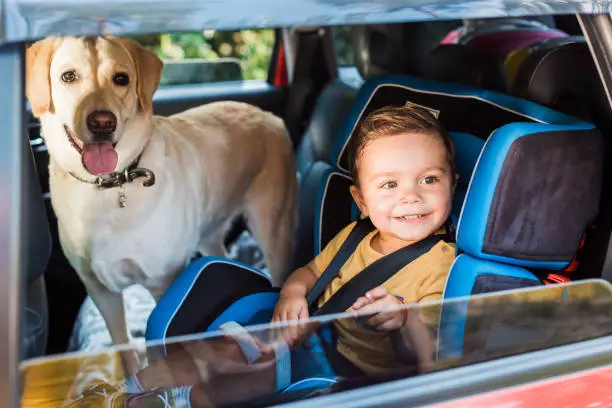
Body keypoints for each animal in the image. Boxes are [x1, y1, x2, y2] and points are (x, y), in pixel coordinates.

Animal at [26, 36, 298, 364]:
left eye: (121, 79)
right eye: (68, 76)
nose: (102, 123)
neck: (110, 186)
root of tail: (270, 116)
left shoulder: (163, 286)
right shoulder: (102, 293)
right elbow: (125, 350)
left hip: (274, 232)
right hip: (208, 234)